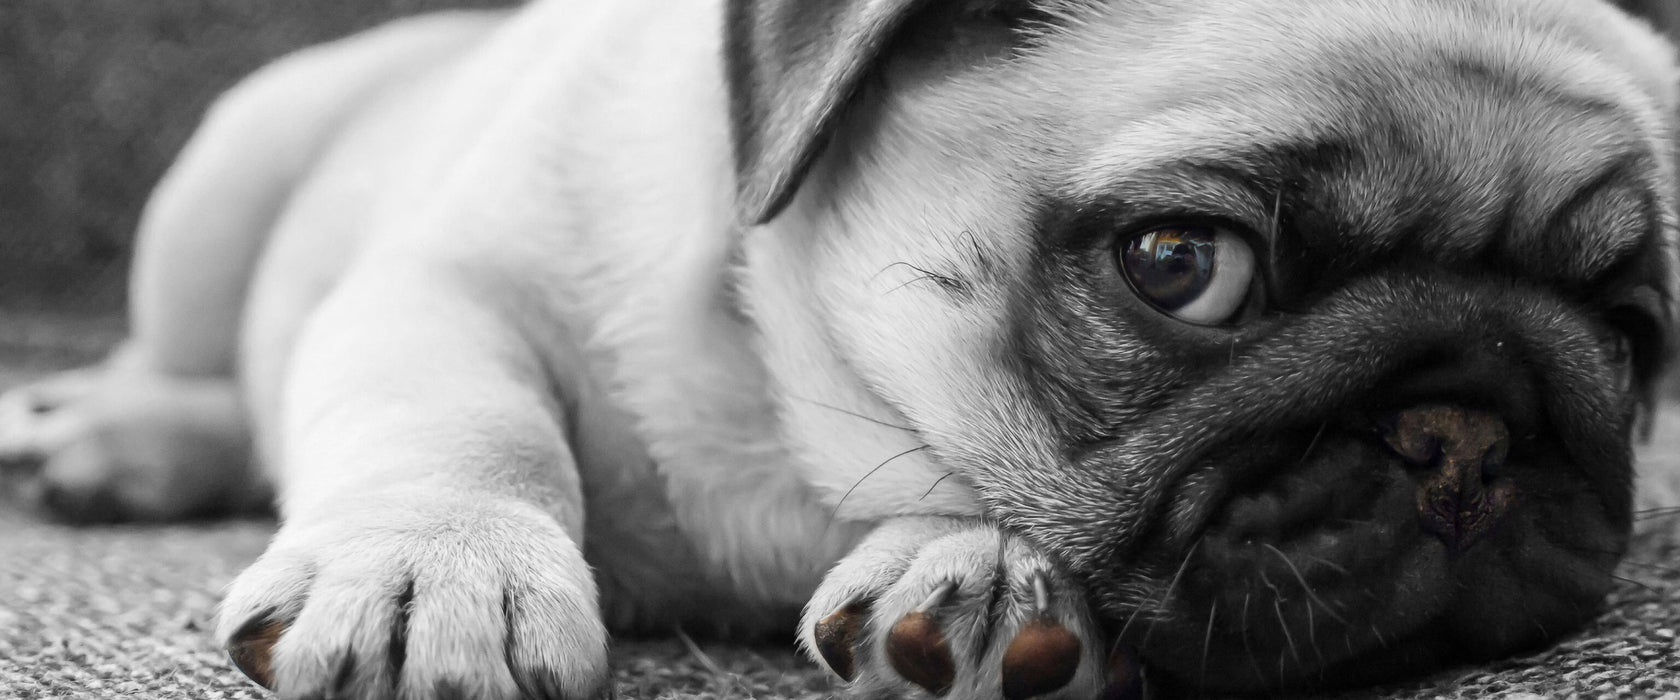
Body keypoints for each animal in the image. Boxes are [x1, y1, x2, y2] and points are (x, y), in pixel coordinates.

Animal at [3, 0, 1680, 694]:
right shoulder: (449, 282)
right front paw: (435, 576)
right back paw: (114, 438)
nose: (1464, 432)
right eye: (1182, 267)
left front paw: (984, 577)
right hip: (221, 185)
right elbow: (461, 416)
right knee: (203, 366)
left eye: (1630, 333)